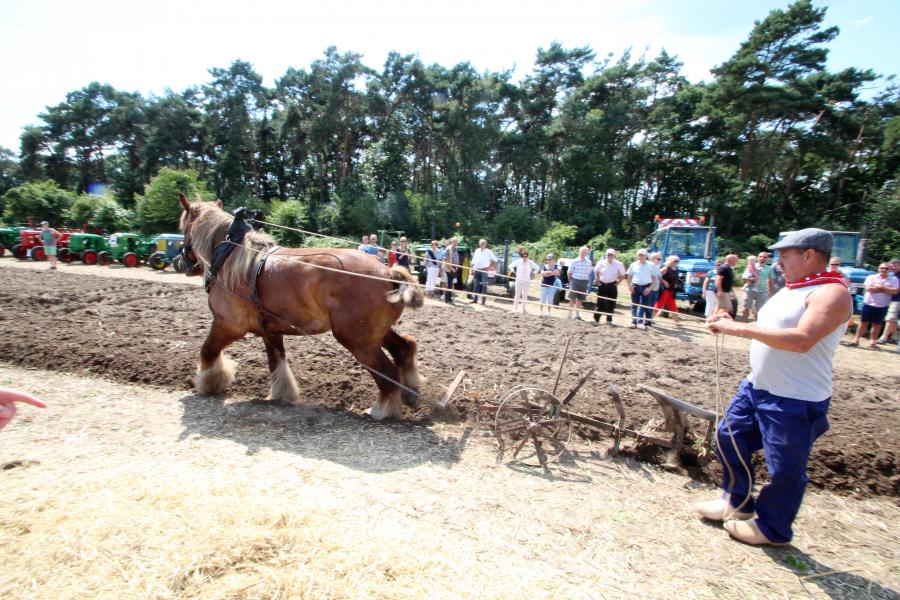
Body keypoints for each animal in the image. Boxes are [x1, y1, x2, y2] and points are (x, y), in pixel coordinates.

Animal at [181, 195, 428, 420]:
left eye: (183, 228)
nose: (181, 263)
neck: (231, 258)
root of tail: (387, 272)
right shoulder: (270, 331)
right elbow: (276, 362)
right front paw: (282, 394)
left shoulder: (227, 324)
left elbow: (208, 350)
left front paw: (210, 382)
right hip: (376, 334)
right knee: (405, 348)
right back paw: (411, 392)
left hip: (359, 342)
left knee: (388, 373)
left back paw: (382, 410)